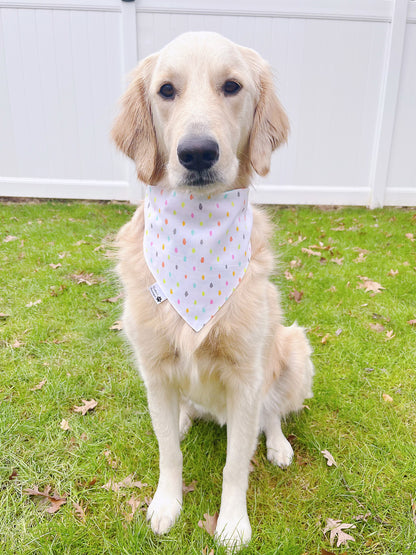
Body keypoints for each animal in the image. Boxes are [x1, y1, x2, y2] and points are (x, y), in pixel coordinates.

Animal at [112, 31, 314, 552]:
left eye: (232, 86)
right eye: (166, 90)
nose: (198, 152)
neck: (197, 226)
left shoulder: (246, 379)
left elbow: (235, 465)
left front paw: (233, 524)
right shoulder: (155, 370)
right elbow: (167, 452)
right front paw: (166, 505)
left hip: (293, 348)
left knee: (273, 414)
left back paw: (279, 445)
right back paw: (186, 418)